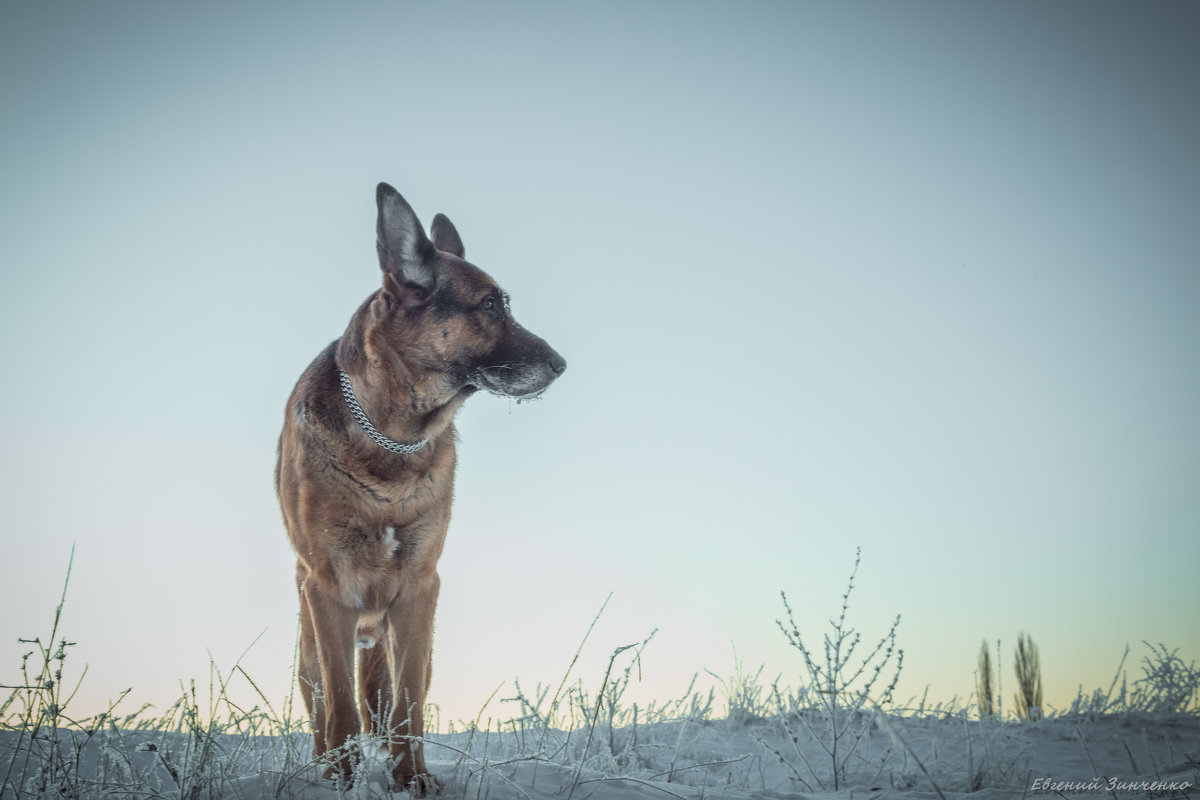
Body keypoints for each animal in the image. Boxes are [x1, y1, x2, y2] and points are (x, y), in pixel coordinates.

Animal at [276, 184, 566, 791]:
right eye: (489, 305)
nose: (561, 364)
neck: (390, 440)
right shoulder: (328, 592)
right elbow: (340, 703)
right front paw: (343, 780)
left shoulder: (418, 592)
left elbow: (407, 702)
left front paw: (410, 777)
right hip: (311, 635)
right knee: (324, 701)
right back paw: (325, 764)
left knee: (386, 699)